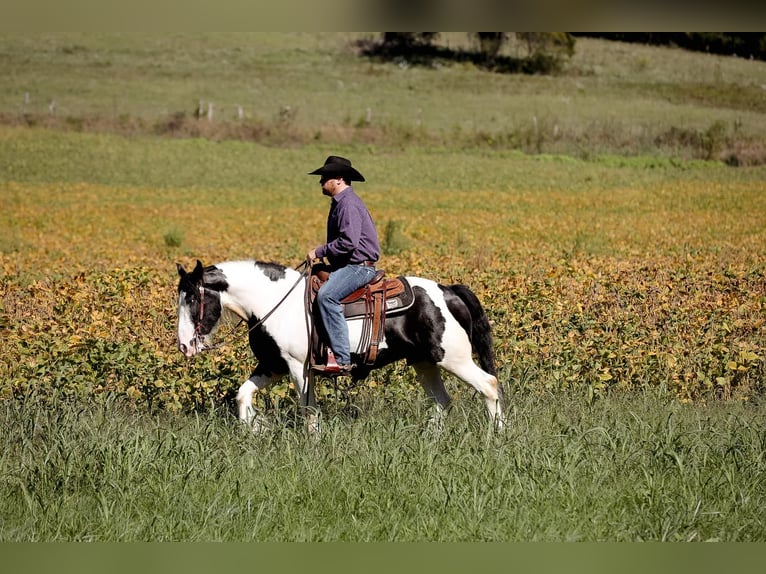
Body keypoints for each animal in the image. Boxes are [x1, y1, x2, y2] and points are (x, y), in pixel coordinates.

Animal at [177, 260, 508, 432]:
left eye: (192, 298)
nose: (183, 346)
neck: (273, 302)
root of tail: (448, 291)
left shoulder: (298, 367)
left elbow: (309, 410)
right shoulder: (273, 366)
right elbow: (242, 395)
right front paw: (253, 431)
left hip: (453, 358)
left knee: (489, 385)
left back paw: (497, 435)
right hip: (424, 363)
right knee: (442, 401)